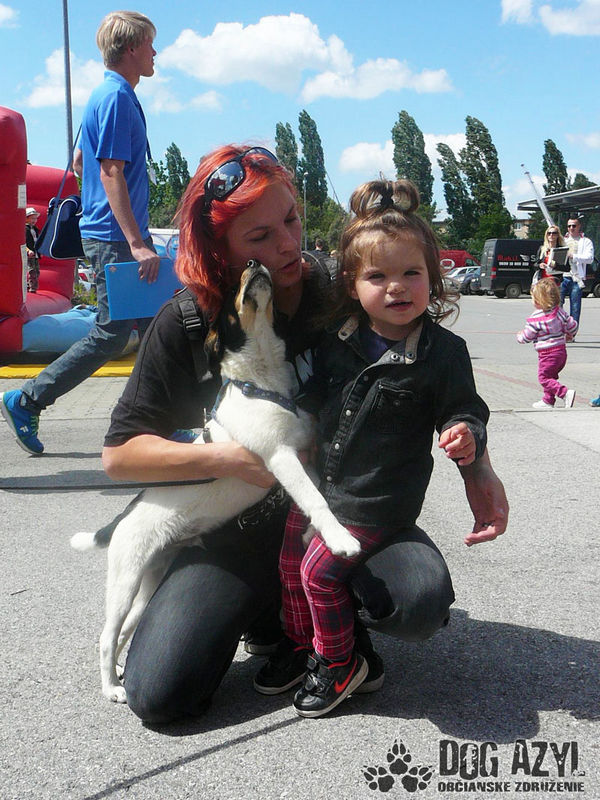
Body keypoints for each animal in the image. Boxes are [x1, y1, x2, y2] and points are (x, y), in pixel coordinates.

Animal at [71, 261, 360, 703]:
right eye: (227, 297)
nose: (253, 264)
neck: (261, 384)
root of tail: (123, 517)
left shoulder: (301, 455)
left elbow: (314, 492)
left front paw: (316, 533)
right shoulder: (280, 457)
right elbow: (316, 498)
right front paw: (341, 538)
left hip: (150, 578)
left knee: (122, 634)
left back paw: (119, 672)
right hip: (125, 577)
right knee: (106, 636)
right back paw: (112, 688)